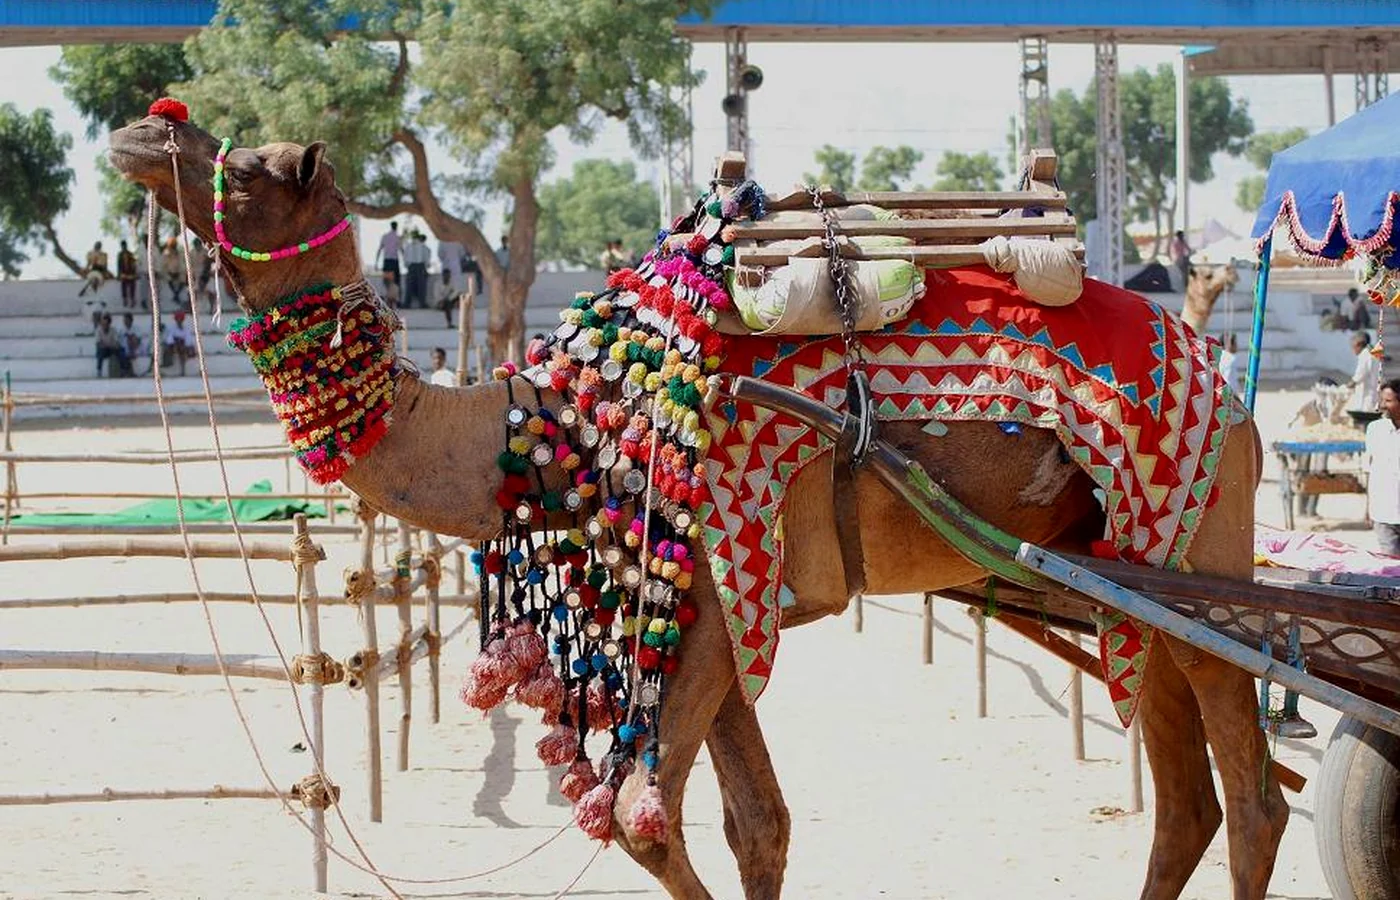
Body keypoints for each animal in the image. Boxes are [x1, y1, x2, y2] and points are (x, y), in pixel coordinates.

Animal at [110, 112, 1289, 900]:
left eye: (252, 168)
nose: (142, 128)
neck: (552, 425)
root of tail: (1230, 389)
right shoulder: (708, 602)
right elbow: (752, 822)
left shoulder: (723, 590)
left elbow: (642, 820)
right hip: (1124, 577)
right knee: (1188, 798)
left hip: (1196, 535)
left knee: (1253, 794)